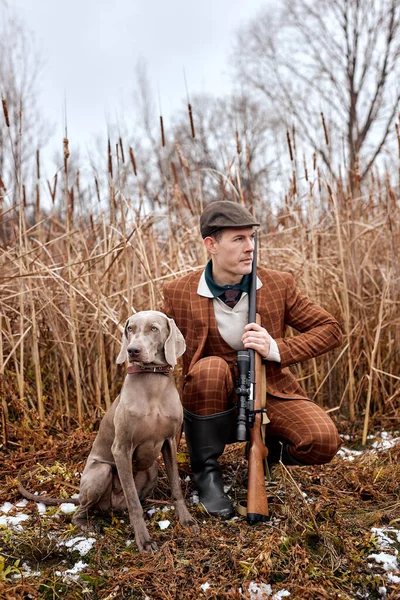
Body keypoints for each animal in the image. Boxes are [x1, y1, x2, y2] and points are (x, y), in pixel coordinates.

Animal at [71, 312, 198, 552]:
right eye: (130, 328)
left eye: (154, 328)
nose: (132, 350)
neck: (152, 380)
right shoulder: (121, 448)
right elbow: (133, 502)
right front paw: (144, 540)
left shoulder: (170, 441)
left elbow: (176, 487)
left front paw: (186, 519)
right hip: (100, 472)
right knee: (80, 512)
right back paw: (90, 525)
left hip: (151, 471)